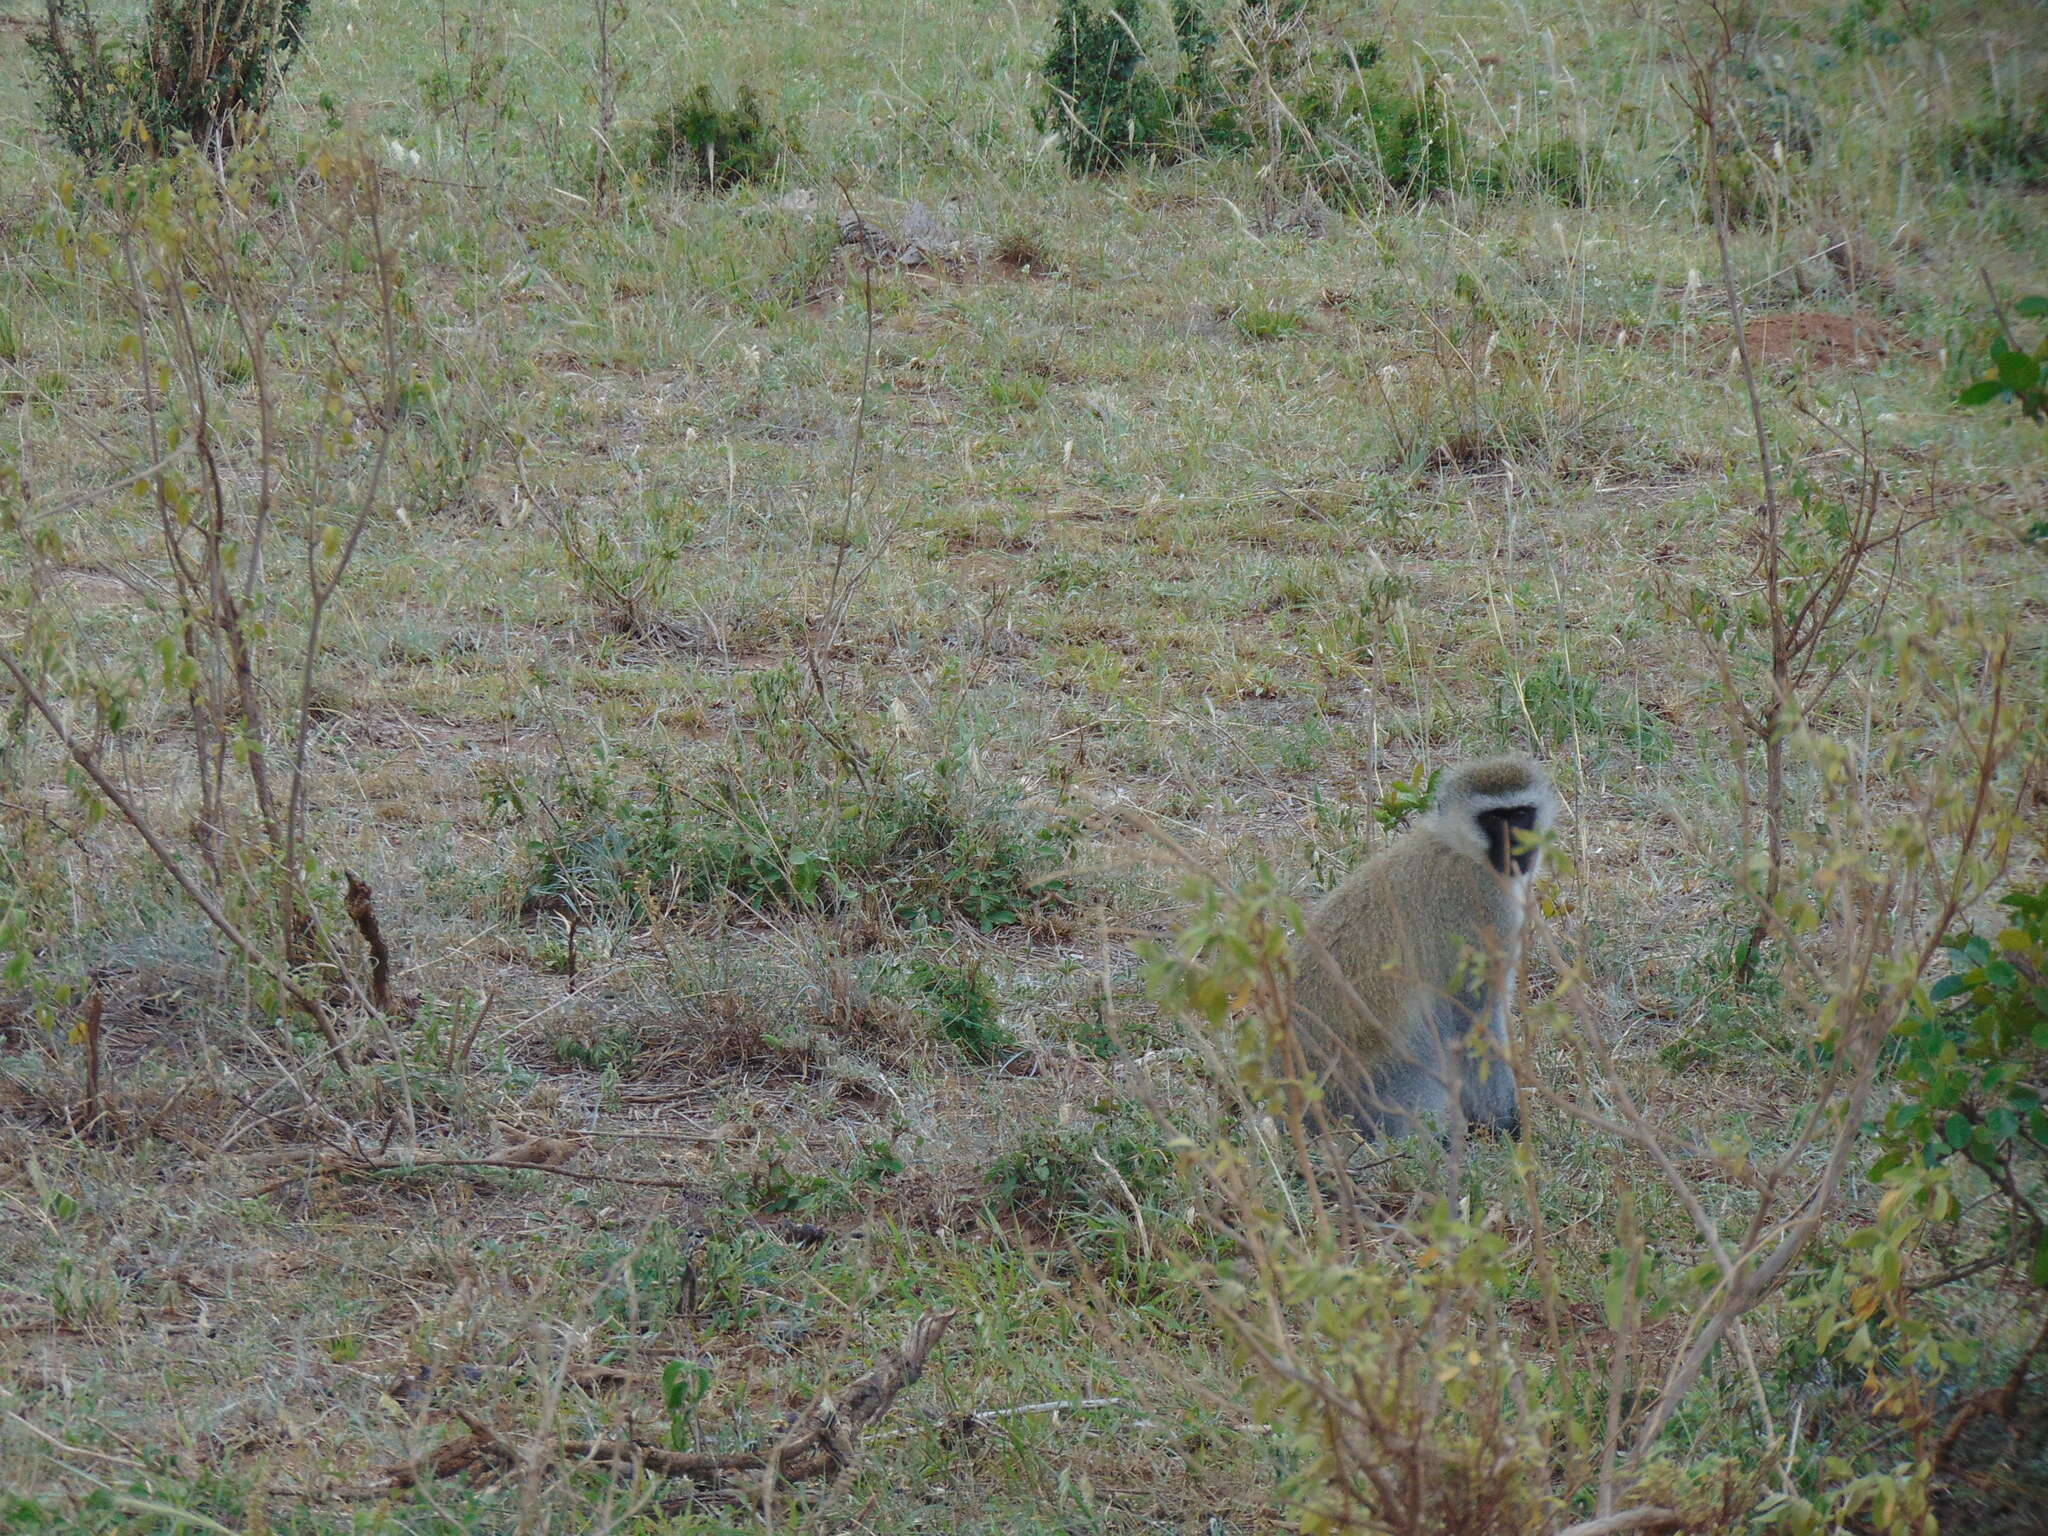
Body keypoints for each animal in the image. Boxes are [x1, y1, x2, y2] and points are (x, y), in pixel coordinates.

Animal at [1286, 757, 1556, 1146]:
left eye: (1520, 814)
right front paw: (1506, 1127)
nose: (1514, 845)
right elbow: (1473, 1017)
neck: (1461, 847)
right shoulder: (1484, 908)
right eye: (1493, 818)